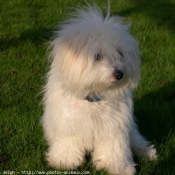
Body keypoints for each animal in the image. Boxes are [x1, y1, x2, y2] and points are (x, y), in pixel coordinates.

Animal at [42, 1, 157, 175]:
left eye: (120, 53)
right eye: (98, 56)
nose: (119, 74)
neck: (93, 98)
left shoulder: (113, 129)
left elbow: (113, 150)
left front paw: (118, 168)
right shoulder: (68, 127)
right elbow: (68, 145)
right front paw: (64, 162)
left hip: (131, 131)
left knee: (137, 141)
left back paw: (148, 152)